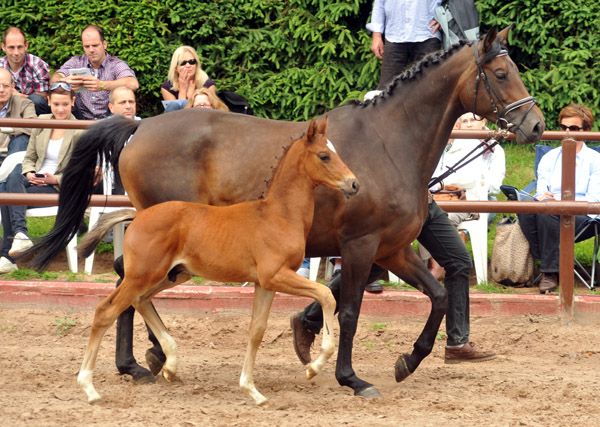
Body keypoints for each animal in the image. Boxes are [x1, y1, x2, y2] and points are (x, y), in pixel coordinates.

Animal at [75, 118, 356, 408]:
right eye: (324, 155)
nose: (353, 184)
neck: (279, 215)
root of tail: (137, 216)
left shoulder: (265, 283)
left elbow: (256, 330)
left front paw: (252, 390)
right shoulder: (276, 275)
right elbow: (326, 295)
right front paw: (313, 367)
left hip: (173, 274)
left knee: (140, 301)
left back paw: (170, 364)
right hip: (142, 275)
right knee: (106, 311)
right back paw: (89, 387)